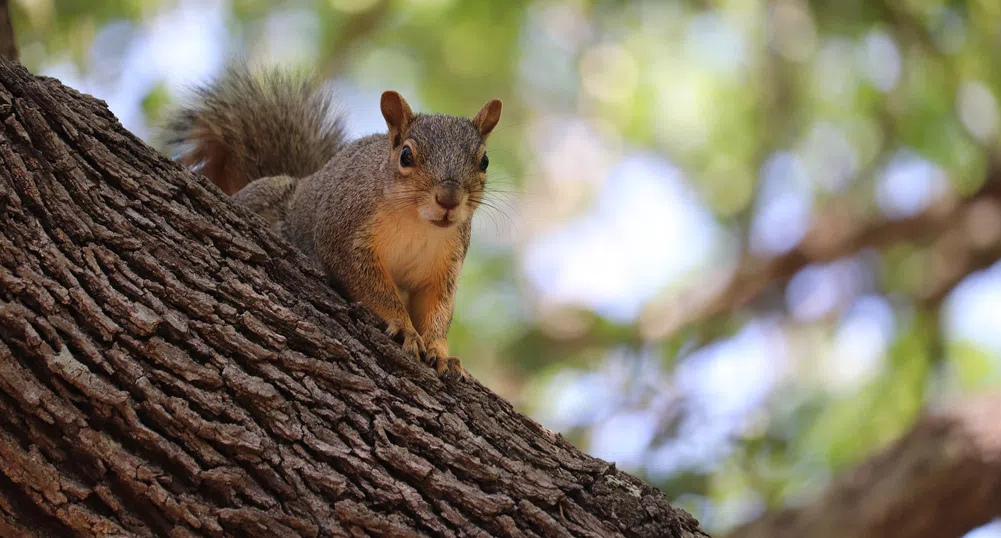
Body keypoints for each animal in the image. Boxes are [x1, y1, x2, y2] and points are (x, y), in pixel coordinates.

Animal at [162, 63, 500, 382]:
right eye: (406, 155)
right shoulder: (343, 235)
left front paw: (441, 352)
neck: (419, 225)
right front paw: (403, 326)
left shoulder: (444, 266)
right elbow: (372, 286)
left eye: (484, 161)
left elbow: (437, 309)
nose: (449, 198)